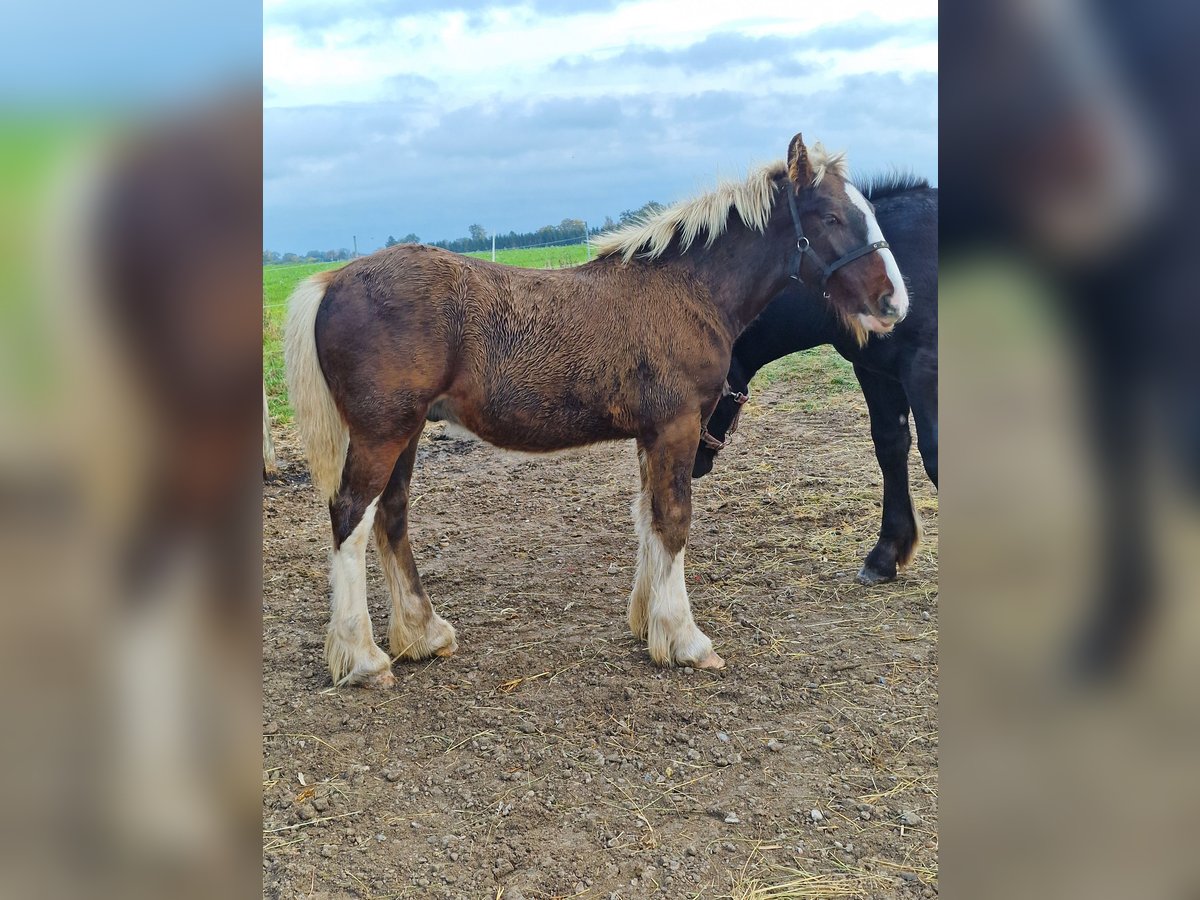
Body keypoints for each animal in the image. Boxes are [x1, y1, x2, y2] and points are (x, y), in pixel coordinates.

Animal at [284, 133, 909, 688]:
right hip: (381, 433)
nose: (894, 303)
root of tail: (333, 280)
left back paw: (423, 635)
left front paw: (649, 626)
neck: (689, 288)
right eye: (831, 216)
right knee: (351, 518)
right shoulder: (677, 427)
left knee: (391, 516)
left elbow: (648, 518)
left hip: (406, 433)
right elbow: (674, 519)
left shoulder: (652, 434)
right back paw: (363, 659)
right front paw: (686, 640)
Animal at [692, 176, 937, 585]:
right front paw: (885, 553)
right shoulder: (874, 371)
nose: (691, 462)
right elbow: (891, 446)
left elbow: (934, 454)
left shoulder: (924, 368)